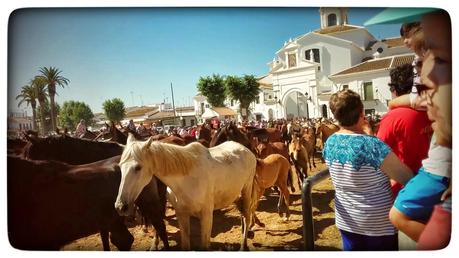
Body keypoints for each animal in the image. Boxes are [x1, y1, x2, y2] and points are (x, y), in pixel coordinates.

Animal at [113, 134, 260, 251]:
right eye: (120, 166)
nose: (120, 207)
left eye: (138, 167)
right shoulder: (181, 214)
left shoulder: (206, 215)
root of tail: (246, 150)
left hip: (247, 190)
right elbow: (185, 244)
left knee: (247, 216)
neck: (187, 179)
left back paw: (243, 246)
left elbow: (204, 246)